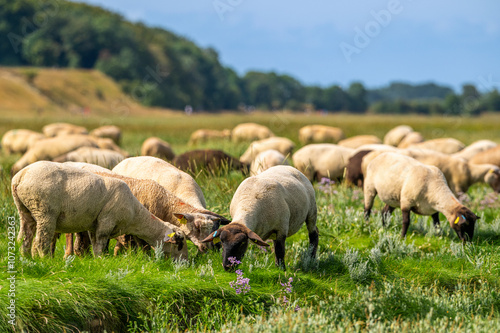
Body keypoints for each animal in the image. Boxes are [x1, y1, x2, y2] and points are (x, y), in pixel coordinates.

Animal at [12, 161, 188, 256]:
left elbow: (95, 242)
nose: (185, 265)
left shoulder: (94, 223)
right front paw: (102, 260)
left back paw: (26, 259)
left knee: (24, 238)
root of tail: (20, 176)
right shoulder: (106, 221)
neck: (135, 216)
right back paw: (44, 260)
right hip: (44, 211)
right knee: (41, 241)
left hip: (25, 210)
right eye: (179, 245)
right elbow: (100, 244)